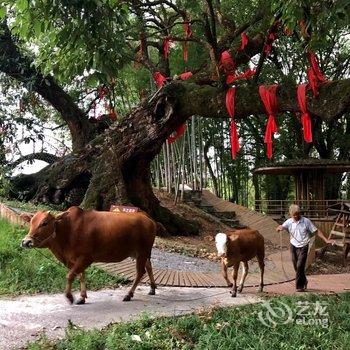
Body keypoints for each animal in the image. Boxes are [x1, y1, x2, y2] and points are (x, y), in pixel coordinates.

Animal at [21, 208, 157, 304]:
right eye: (31, 222)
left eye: (44, 223)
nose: (26, 242)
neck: (68, 230)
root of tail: (146, 216)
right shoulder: (75, 260)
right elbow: (81, 276)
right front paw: (82, 297)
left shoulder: (86, 258)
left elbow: (70, 275)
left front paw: (70, 297)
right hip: (142, 253)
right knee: (149, 266)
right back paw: (152, 289)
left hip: (143, 252)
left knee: (140, 272)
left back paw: (129, 294)